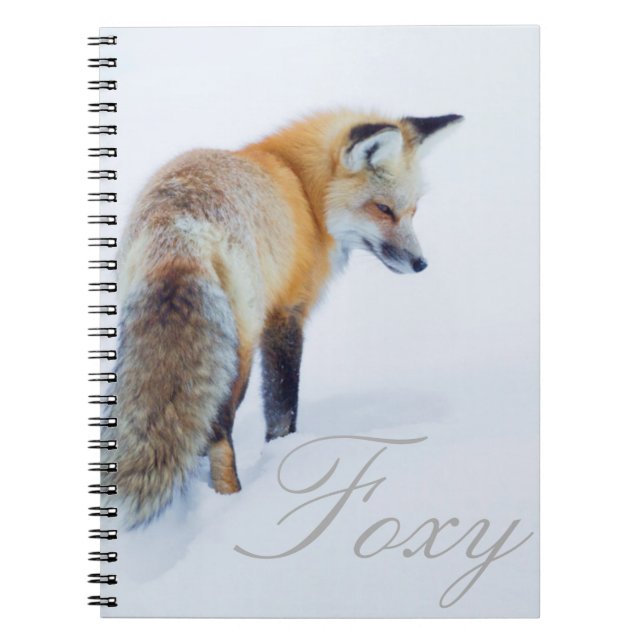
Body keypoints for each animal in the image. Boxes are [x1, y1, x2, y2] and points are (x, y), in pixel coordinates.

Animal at [108, 109, 462, 527]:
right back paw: (230, 498)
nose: (420, 263)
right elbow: (282, 406)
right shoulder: (286, 313)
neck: (303, 190)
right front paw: (284, 454)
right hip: (239, 350)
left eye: (412, 210)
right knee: (218, 429)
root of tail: (178, 228)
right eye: (383, 209)